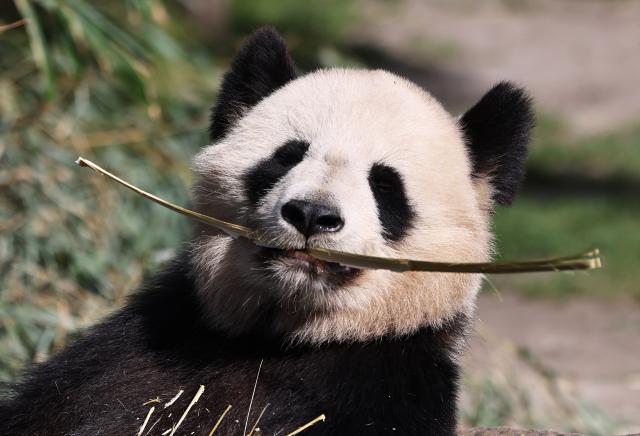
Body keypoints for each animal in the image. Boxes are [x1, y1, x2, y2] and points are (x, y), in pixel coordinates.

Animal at [0, 28, 532, 435]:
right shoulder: (135, 353)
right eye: (287, 156)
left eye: (384, 185)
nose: (312, 215)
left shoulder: (387, 386)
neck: (280, 339)